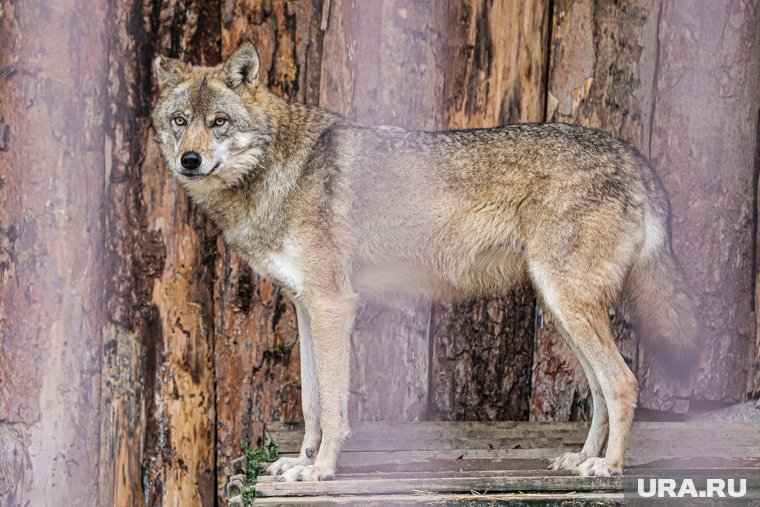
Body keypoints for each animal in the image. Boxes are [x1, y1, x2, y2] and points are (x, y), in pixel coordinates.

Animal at [150, 41, 700, 482]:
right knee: (601, 391)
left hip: (570, 307)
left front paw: (321, 470)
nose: (189, 161)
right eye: (180, 122)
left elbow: (332, 405)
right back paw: (582, 459)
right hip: (563, 311)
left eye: (218, 122)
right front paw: (301, 462)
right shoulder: (306, 306)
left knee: (623, 383)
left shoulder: (333, 304)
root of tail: (635, 158)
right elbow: (310, 401)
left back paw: (608, 467)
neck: (277, 171)